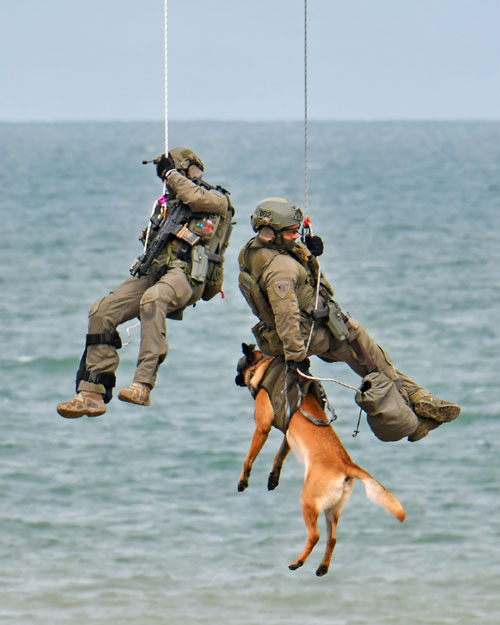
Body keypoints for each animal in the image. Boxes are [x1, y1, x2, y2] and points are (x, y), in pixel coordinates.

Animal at [235, 344, 406, 576]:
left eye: (238, 368)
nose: (235, 379)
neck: (264, 367)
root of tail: (346, 464)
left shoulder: (262, 428)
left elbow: (249, 458)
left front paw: (243, 480)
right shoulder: (288, 435)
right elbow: (279, 457)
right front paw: (273, 478)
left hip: (308, 501)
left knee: (314, 536)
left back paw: (297, 562)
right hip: (332, 508)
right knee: (332, 538)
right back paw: (322, 567)